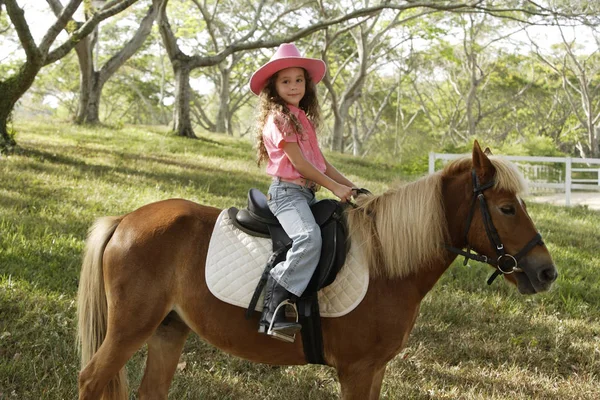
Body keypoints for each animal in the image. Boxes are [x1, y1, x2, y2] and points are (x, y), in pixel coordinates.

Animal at [76, 142, 556, 398]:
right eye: (507, 208)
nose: (546, 273)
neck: (385, 263)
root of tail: (126, 220)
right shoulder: (357, 369)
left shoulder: (375, 369)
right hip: (131, 328)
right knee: (91, 379)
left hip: (168, 328)